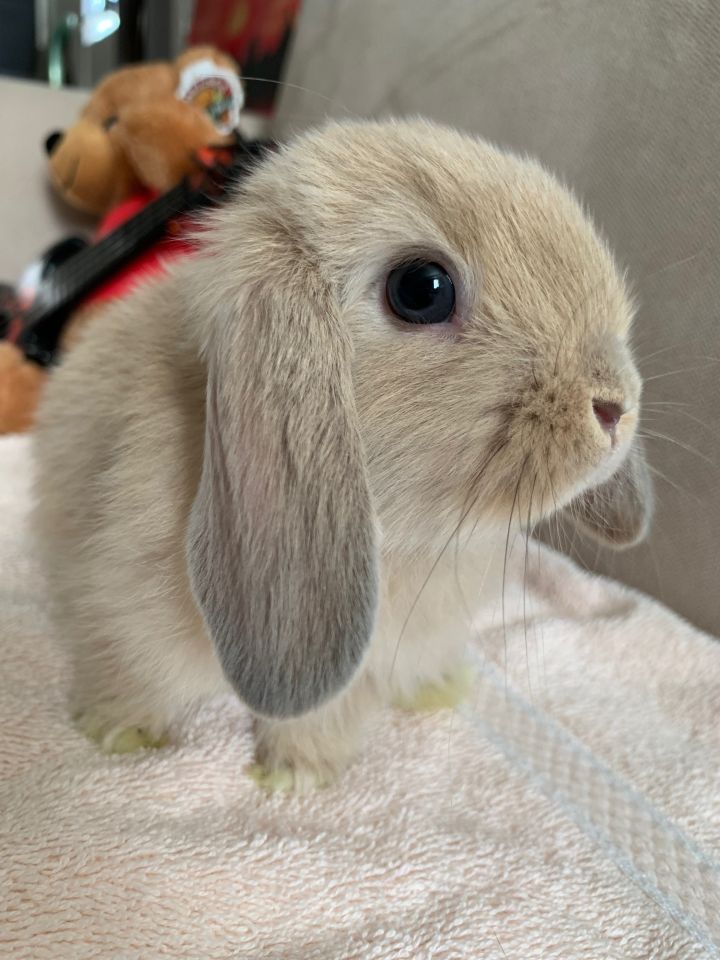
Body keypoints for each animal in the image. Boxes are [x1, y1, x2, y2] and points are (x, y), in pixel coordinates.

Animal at [32, 120, 652, 792]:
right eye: (421, 289)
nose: (615, 407)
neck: (405, 543)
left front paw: (298, 772)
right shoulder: (122, 607)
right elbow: (133, 673)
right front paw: (121, 735)